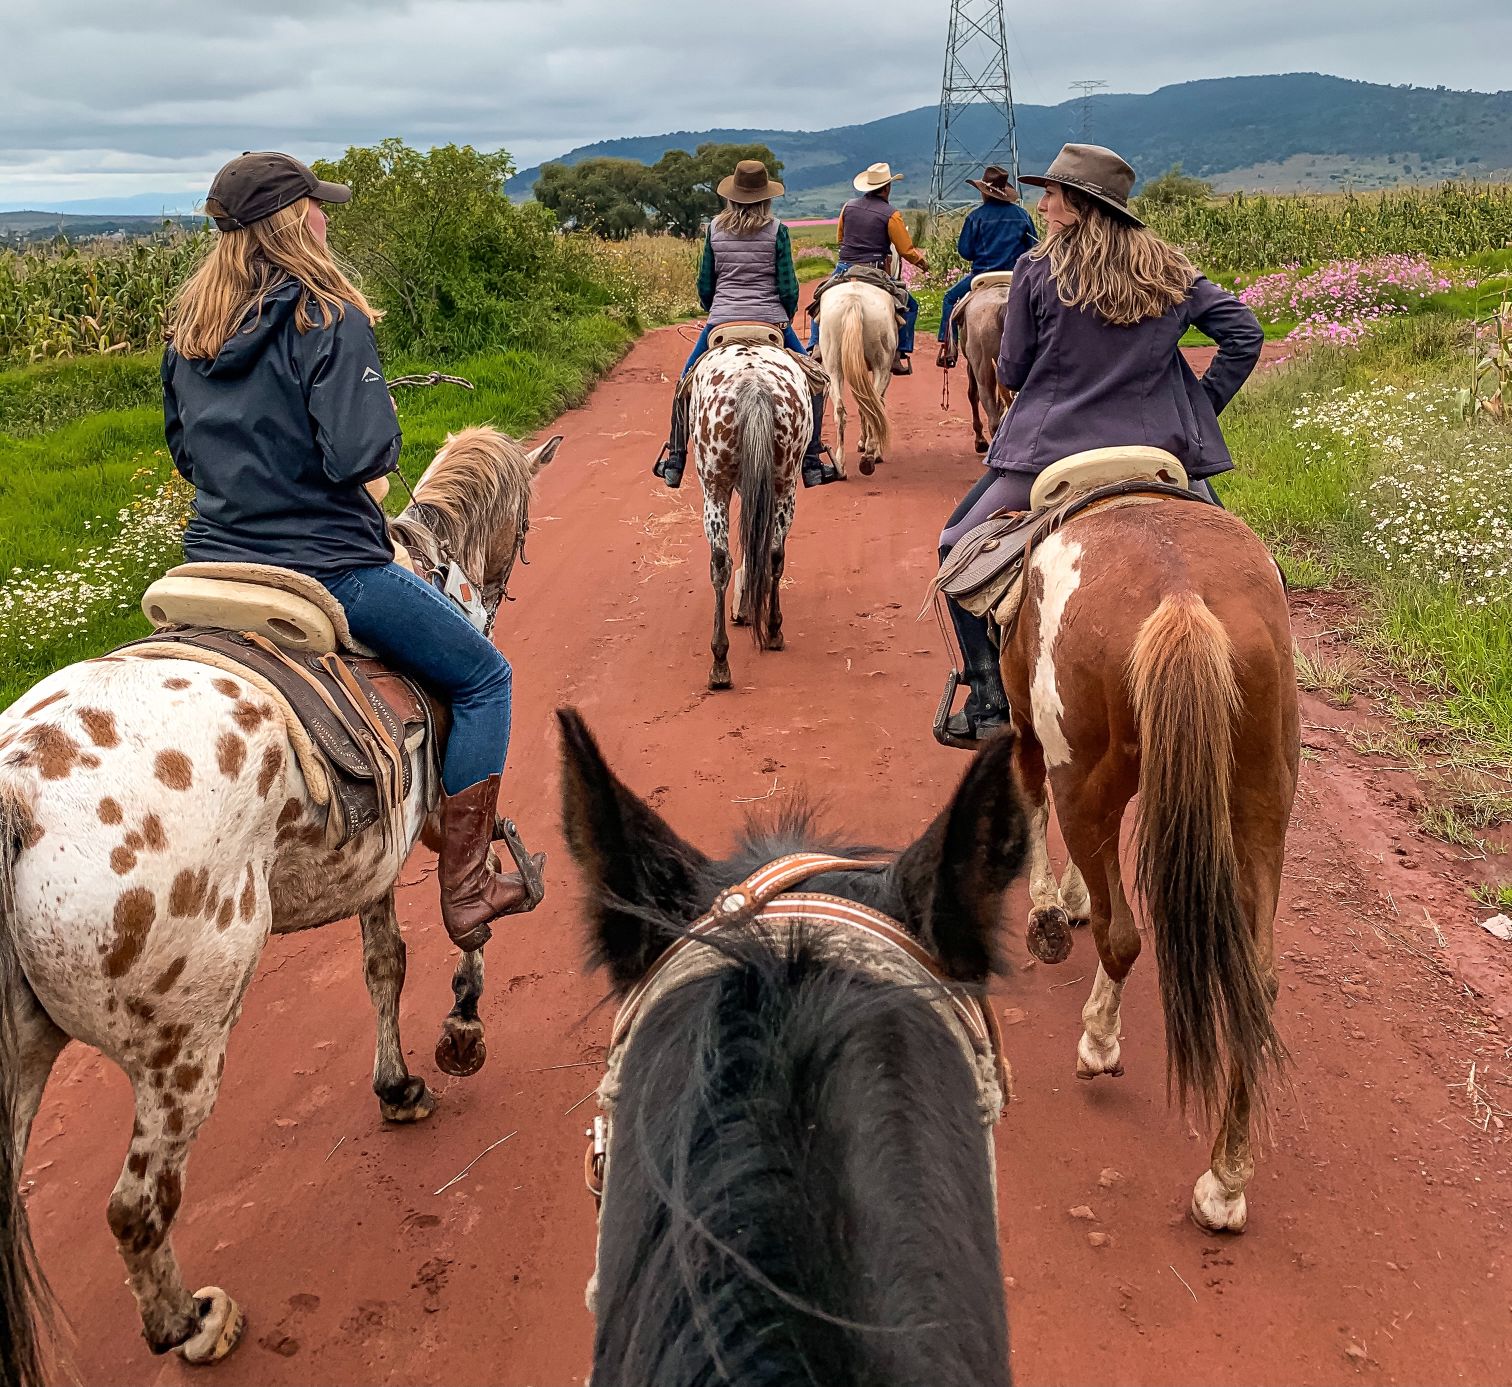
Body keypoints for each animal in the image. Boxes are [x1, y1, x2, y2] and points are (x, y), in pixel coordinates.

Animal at [0, 426, 562, 1379]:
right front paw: (461, 1030)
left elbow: (384, 963)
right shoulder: (441, 822)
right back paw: (193, 1322)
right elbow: (469, 914)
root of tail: (19, 797)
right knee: (136, 1206)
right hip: (184, 1045)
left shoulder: (377, 858)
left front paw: (399, 1085)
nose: (501, 583)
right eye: (523, 519)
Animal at [692, 340, 816, 686]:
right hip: (783, 482)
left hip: (716, 486)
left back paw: (726, 657)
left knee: (721, 561)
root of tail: (755, 383)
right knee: (772, 553)